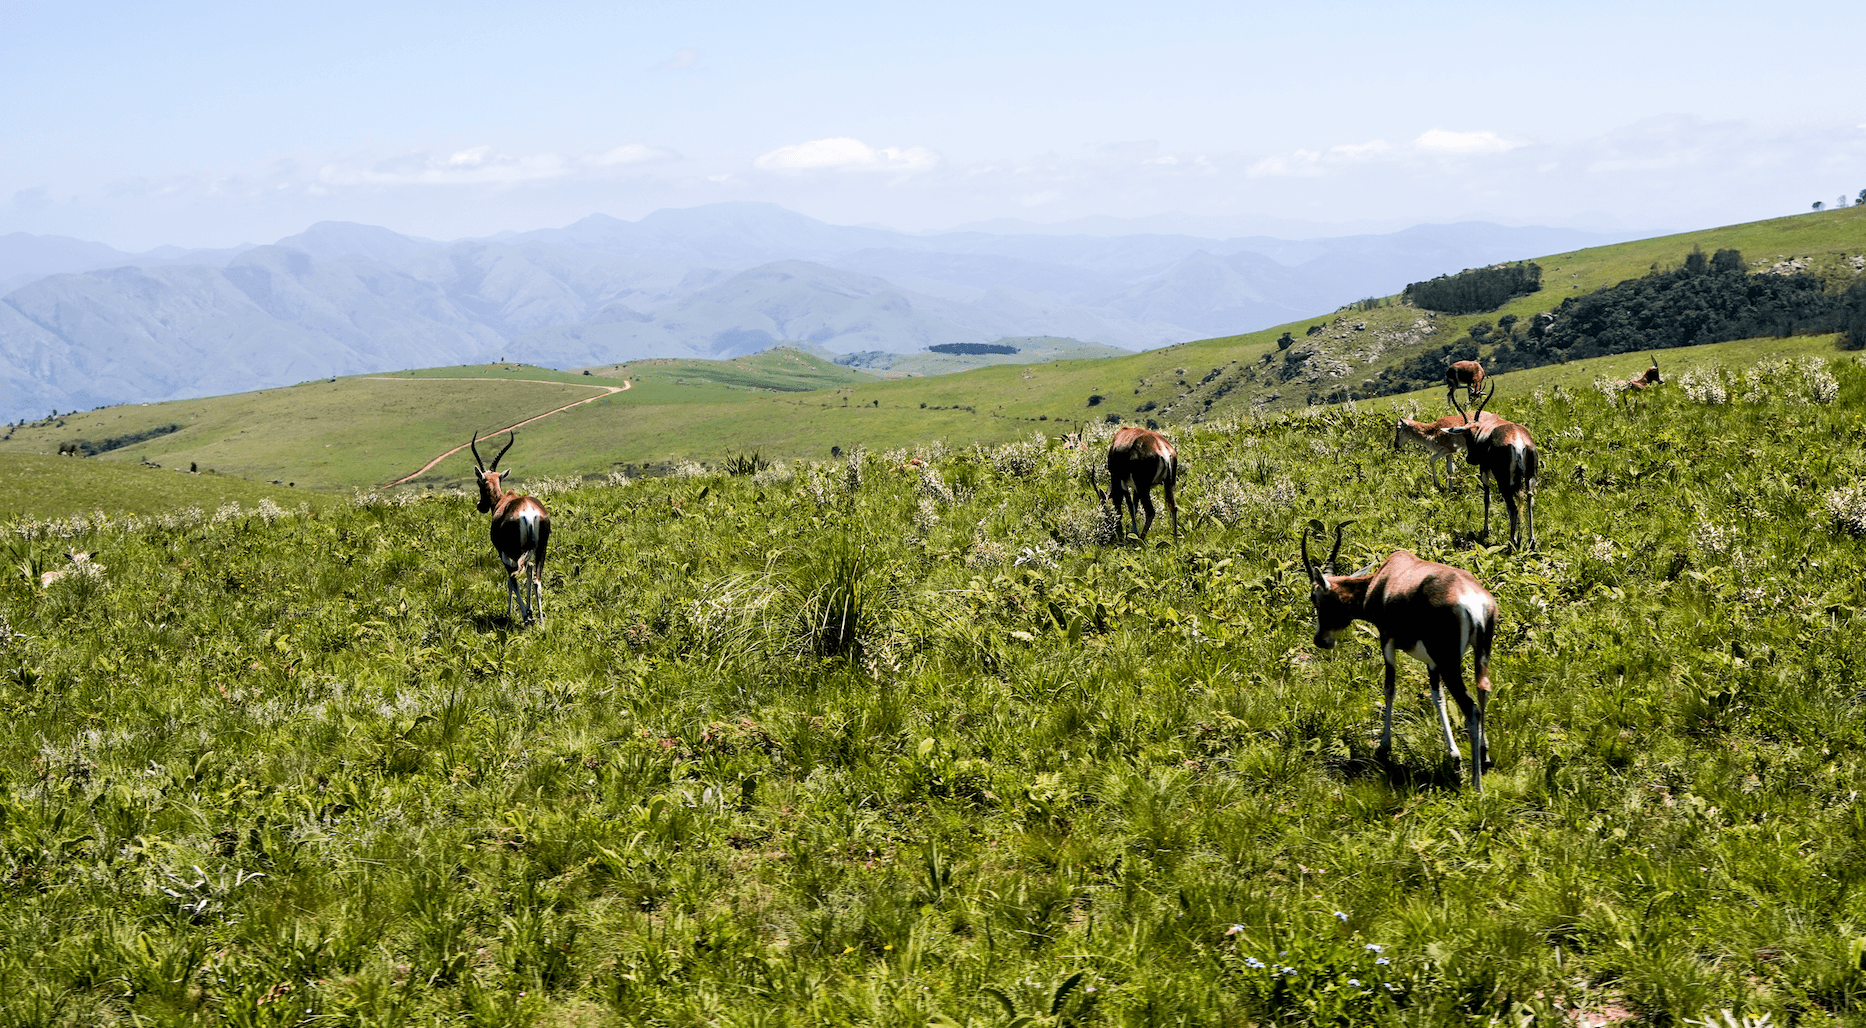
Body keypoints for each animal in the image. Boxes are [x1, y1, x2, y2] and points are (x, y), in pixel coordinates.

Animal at [470, 432, 548, 626]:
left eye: (479, 481)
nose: (481, 506)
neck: (503, 500)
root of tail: (529, 512)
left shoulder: (503, 552)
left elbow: (510, 581)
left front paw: (516, 613)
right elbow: (528, 574)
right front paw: (530, 612)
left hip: (515, 552)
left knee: (514, 577)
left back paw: (526, 618)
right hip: (540, 549)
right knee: (536, 579)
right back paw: (541, 622)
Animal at [1298, 522, 1500, 794]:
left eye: (1315, 597)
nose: (1320, 640)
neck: (1385, 579)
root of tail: (1472, 600)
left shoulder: (1387, 641)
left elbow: (1389, 688)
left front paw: (1384, 748)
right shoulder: (1432, 661)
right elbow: (1438, 697)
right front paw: (1454, 756)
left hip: (1449, 663)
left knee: (1471, 708)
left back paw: (1476, 785)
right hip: (1480, 655)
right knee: (1483, 690)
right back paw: (1485, 756)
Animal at [1433, 382, 1537, 552]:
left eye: (1467, 435)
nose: (1470, 459)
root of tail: (1518, 442)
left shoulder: (1484, 472)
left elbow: (1486, 499)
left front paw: (1486, 530)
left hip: (1503, 482)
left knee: (1513, 508)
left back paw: (1511, 542)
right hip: (1530, 478)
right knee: (1529, 500)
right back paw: (1531, 540)